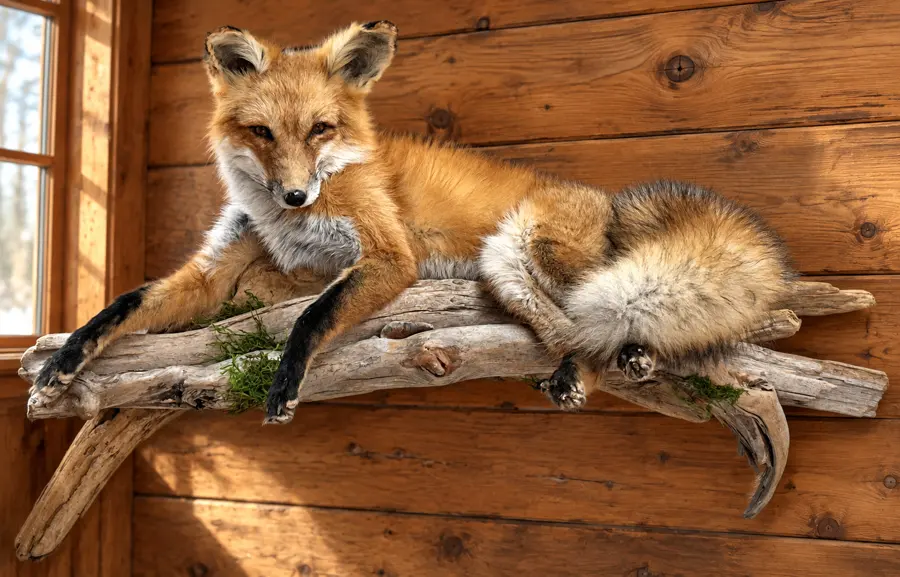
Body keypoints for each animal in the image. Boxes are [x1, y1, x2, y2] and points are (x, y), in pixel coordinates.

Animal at [32, 21, 793, 422]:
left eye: (320, 129)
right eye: (262, 133)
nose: (295, 196)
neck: (287, 226)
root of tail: (607, 199)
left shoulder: (387, 254)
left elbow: (313, 315)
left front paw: (285, 382)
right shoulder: (217, 271)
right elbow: (124, 305)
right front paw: (64, 363)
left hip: (521, 247)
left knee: (595, 320)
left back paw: (609, 363)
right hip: (508, 271)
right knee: (577, 329)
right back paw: (621, 360)